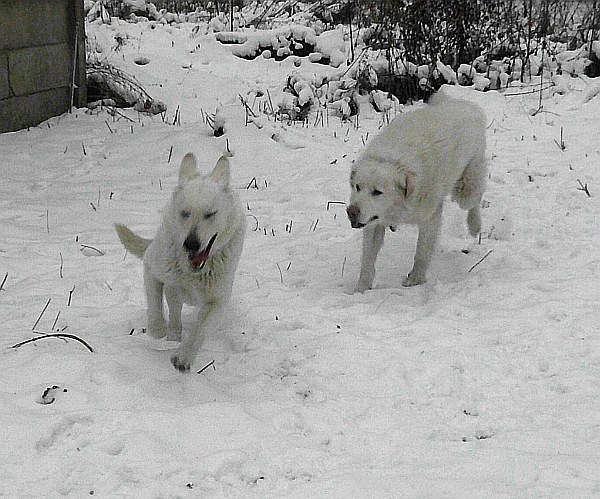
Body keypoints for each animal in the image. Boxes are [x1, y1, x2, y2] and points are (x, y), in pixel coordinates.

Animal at [115, 154, 246, 374]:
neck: (194, 271)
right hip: (172, 287)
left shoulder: (218, 301)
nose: (191, 244)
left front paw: (183, 357)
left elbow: (200, 330)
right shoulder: (152, 269)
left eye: (210, 214)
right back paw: (171, 336)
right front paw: (158, 330)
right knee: (174, 314)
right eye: (185, 213)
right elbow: (155, 308)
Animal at [346, 92, 488, 292]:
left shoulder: (430, 219)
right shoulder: (373, 223)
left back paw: (475, 226)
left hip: (466, 187)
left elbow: (421, 253)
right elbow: (367, 260)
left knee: (474, 200)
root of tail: (464, 104)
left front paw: (415, 281)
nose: (351, 211)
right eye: (358, 187)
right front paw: (361, 290)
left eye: (377, 192)